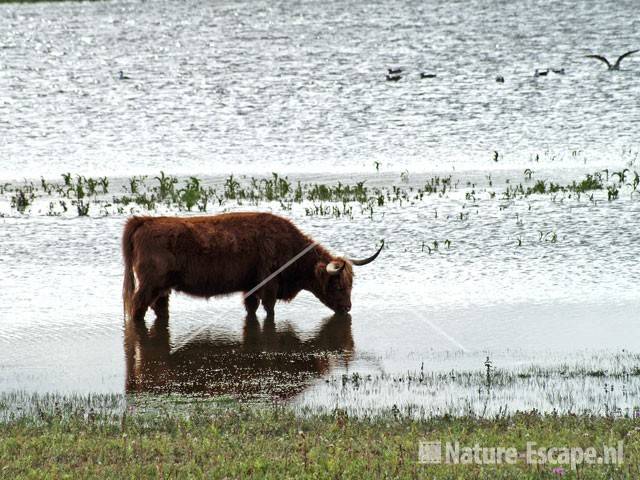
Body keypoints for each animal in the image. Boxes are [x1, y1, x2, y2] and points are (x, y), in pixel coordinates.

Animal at [121, 213, 380, 318]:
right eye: (337, 285)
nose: (347, 308)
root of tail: (144, 221)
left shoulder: (250, 288)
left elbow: (251, 309)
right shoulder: (269, 286)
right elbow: (270, 310)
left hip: (162, 289)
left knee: (159, 309)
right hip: (149, 285)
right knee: (137, 308)